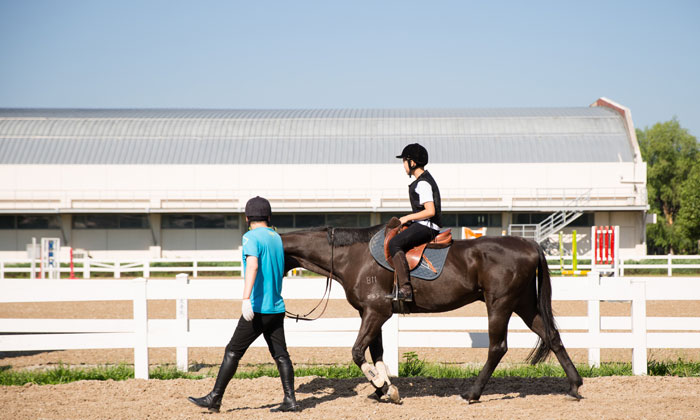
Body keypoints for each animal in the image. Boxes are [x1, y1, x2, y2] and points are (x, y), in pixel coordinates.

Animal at [282, 223, 584, 404]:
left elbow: (357, 352)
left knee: (497, 347)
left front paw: (383, 386)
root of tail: (530, 245)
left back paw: (472, 393)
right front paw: (383, 389)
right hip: (524, 305)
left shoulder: (376, 312)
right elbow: (376, 352)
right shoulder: (370, 313)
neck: (353, 256)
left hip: (500, 304)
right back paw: (574, 386)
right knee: (553, 337)